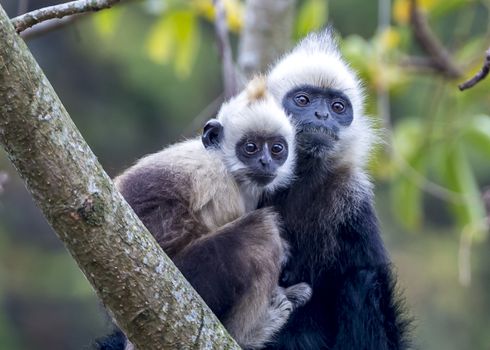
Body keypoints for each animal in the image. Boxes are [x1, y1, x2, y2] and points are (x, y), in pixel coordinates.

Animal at [110, 77, 310, 350]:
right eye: (251, 147)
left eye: (277, 149)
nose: (266, 162)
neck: (226, 164)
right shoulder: (219, 181)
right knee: (262, 235)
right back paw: (247, 335)